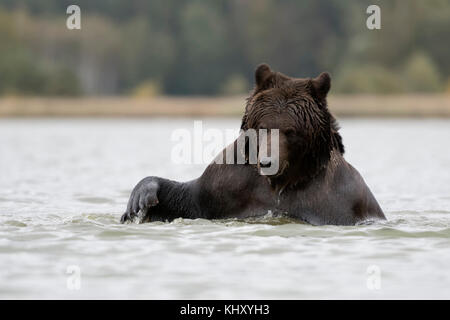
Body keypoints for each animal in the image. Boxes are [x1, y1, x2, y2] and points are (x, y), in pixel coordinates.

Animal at [121, 63, 384, 226]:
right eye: (264, 126)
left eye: (291, 131)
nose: (268, 162)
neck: (280, 184)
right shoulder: (228, 184)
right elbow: (190, 200)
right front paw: (141, 199)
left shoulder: (339, 199)